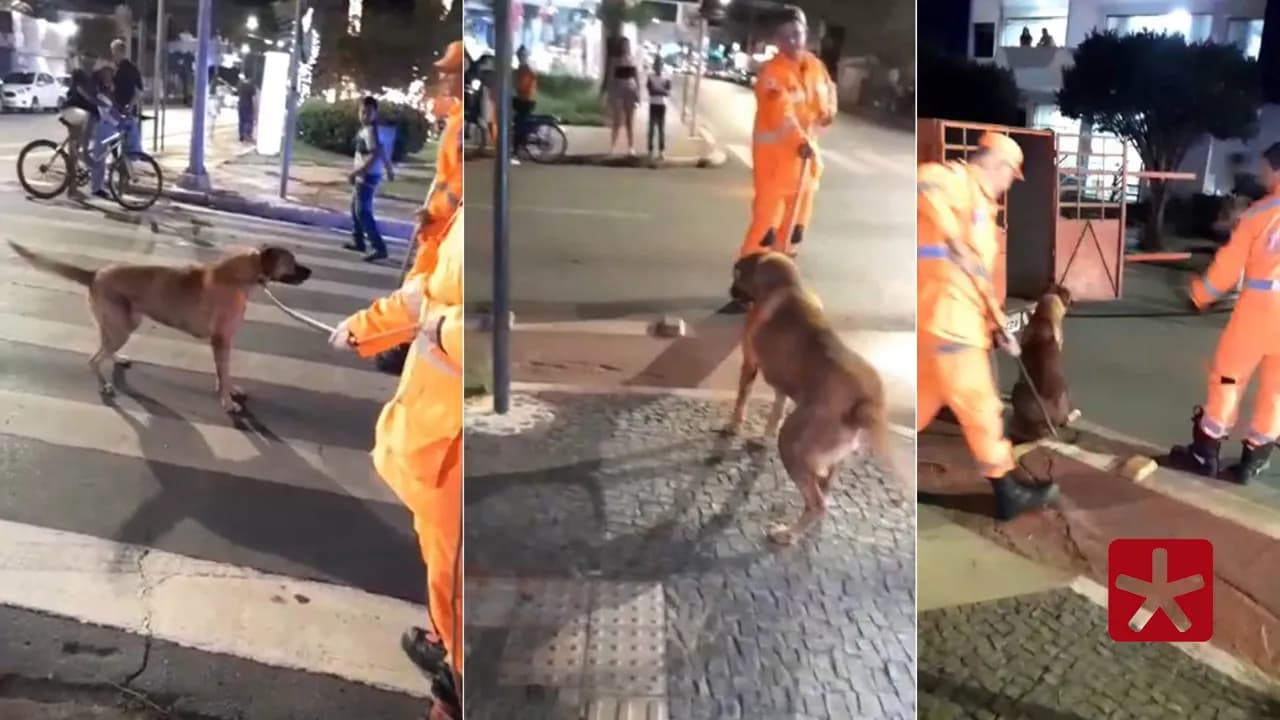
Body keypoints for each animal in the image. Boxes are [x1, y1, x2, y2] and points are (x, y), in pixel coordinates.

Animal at [8, 239, 311, 412]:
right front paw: (227, 401)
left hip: (123, 324)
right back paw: (104, 385)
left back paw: (117, 359)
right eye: (293, 262)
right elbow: (223, 372)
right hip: (121, 327)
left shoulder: (223, 342)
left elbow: (223, 372)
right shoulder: (221, 340)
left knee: (105, 347)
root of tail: (95, 273)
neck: (243, 273)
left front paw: (228, 389)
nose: (310, 271)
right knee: (94, 359)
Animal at [727, 252, 896, 543]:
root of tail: (865, 402)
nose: (731, 291)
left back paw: (787, 534)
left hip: (791, 443)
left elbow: (742, 400)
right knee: (823, 489)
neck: (787, 286)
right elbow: (774, 413)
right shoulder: (782, 386)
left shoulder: (750, 364)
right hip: (833, 454)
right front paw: (762, 438)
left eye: (737, 272)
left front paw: (734, 425)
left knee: (817, 503)